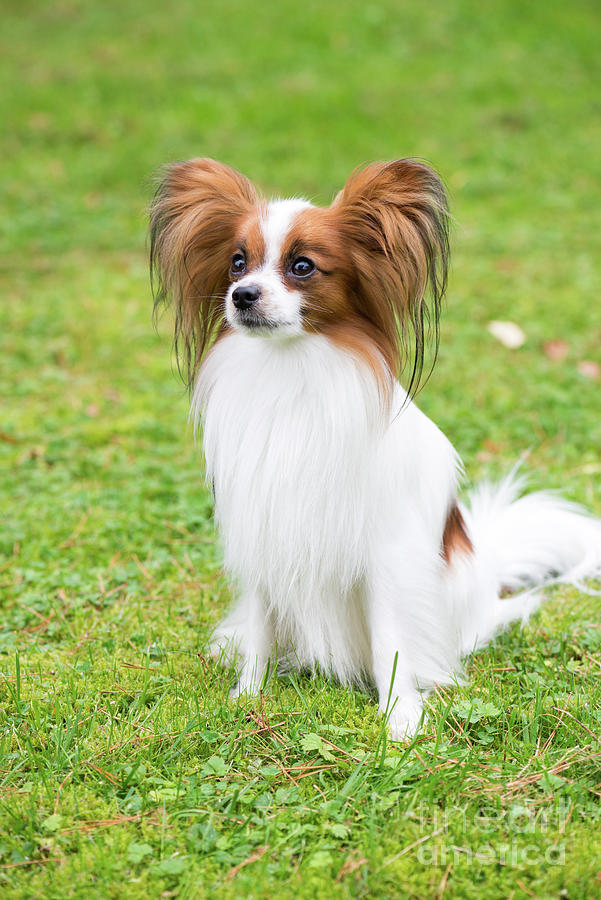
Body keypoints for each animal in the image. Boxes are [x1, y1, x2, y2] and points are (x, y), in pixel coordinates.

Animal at [149, 160, 600, 740]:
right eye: (237, 262)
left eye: (302, 266)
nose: (243, 295)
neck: (290, 373)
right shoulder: (264, 534)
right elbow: (261, 628)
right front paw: (247, 694)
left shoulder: (386, 553)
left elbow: (392, 641)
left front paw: (399, 715)